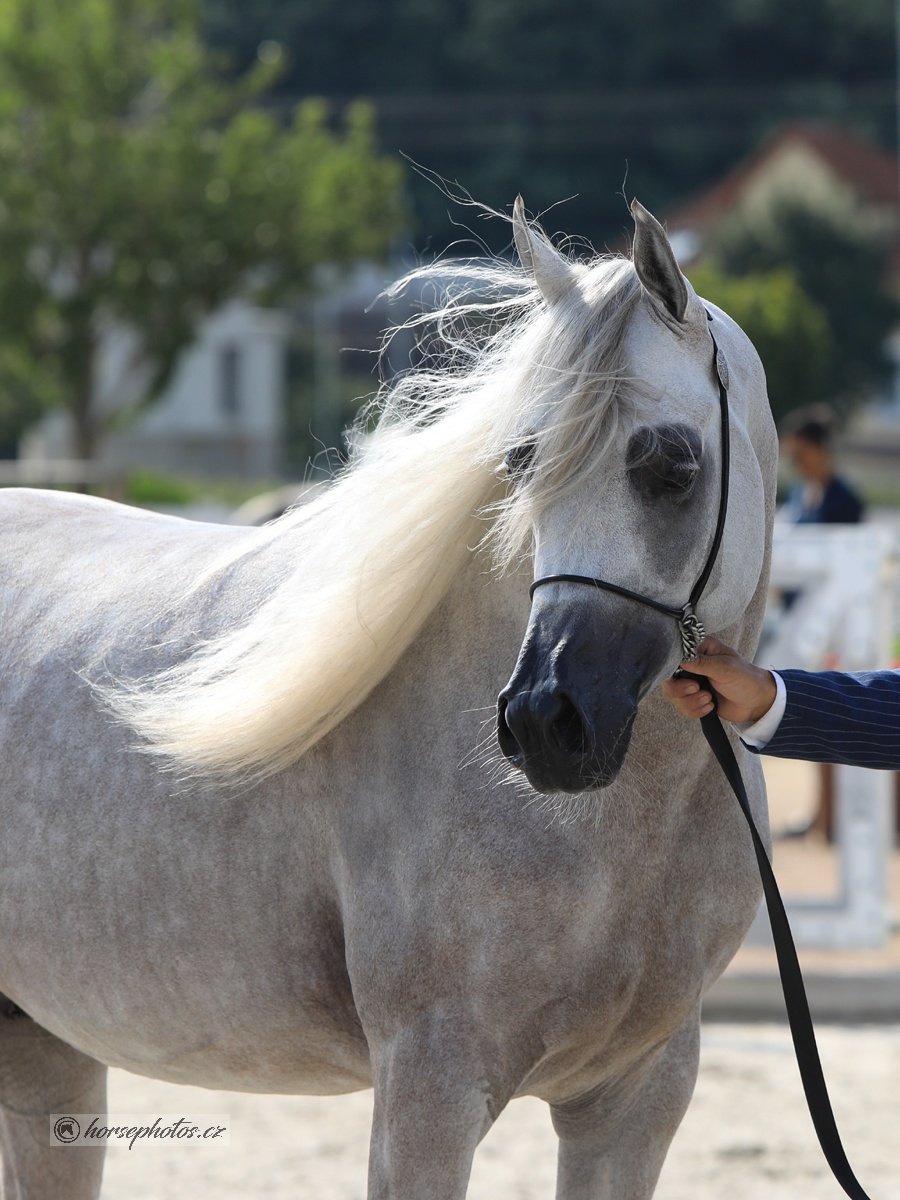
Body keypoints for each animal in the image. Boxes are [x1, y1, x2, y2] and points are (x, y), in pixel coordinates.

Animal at [0, 201, 777, 1195]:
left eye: (673, 465)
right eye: (521, 461)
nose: (545, 723)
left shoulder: (635, 1097)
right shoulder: (429, 1087)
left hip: (46, 1051)